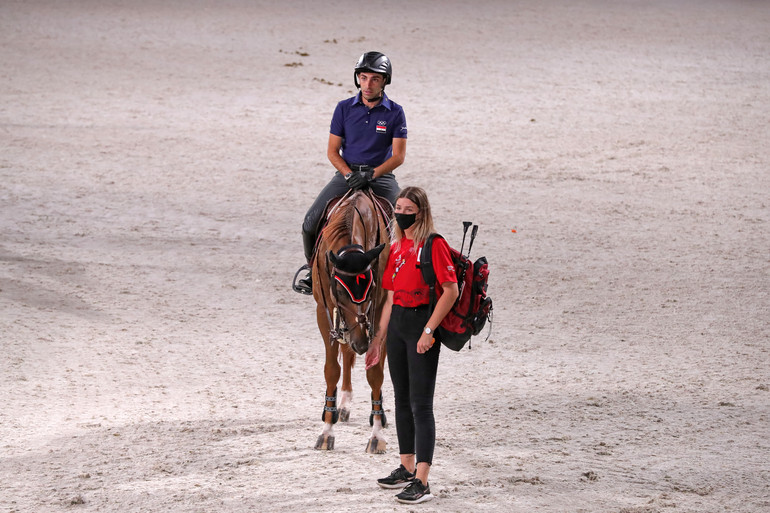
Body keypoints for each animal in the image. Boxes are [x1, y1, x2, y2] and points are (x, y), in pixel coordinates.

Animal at [310, 189, 390, 452]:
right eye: (339, 289)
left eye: (371, 286)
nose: (362, 344)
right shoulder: (324, 311)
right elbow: (331, 370)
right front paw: (327, 429)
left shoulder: (381, 308)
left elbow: (375, 372)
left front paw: (376, 435)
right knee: (346, 351)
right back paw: (342, 405)